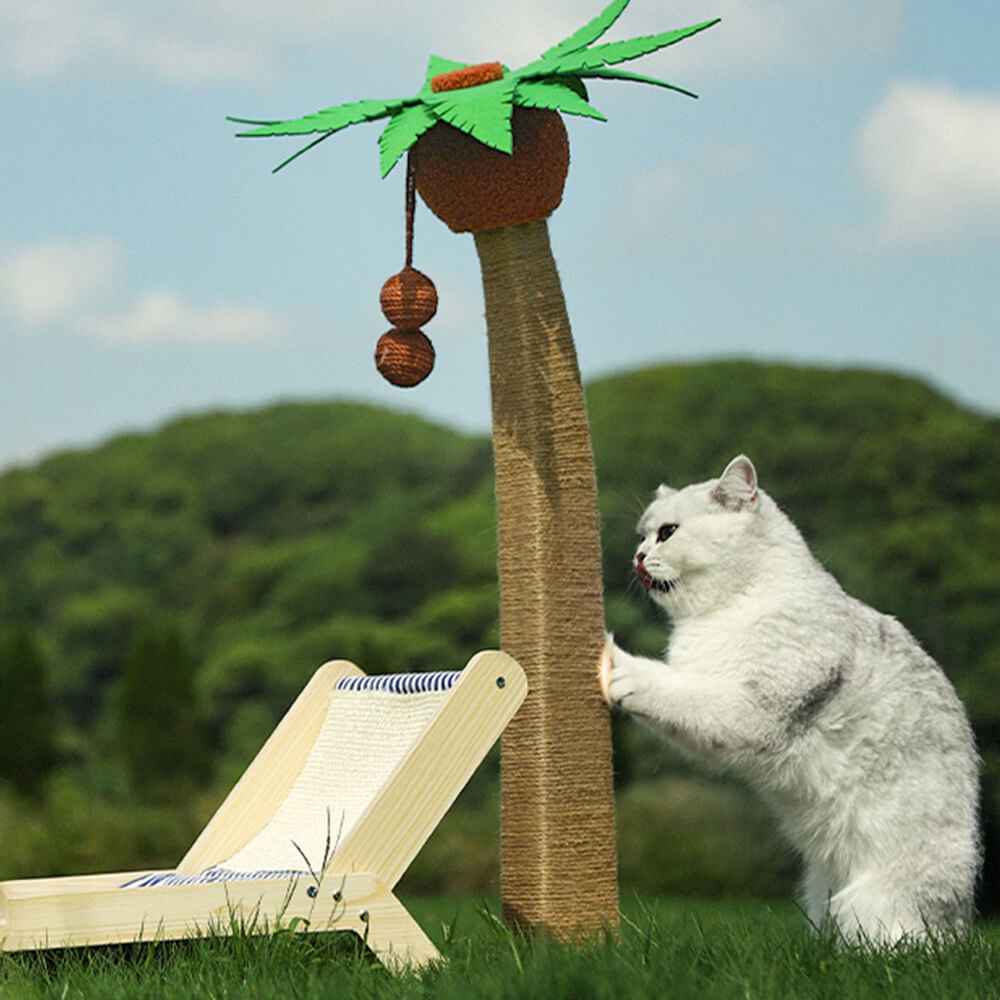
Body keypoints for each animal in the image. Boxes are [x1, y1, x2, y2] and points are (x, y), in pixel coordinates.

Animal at [600, 456, 976, 944]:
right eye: (642, 536)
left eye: (667, 532)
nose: (639, 557)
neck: (735, 602)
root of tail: (963, 926)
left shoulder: (751, 710)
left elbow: (677, 691)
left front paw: (620, 666)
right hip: (822, 891)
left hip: (871, 903)